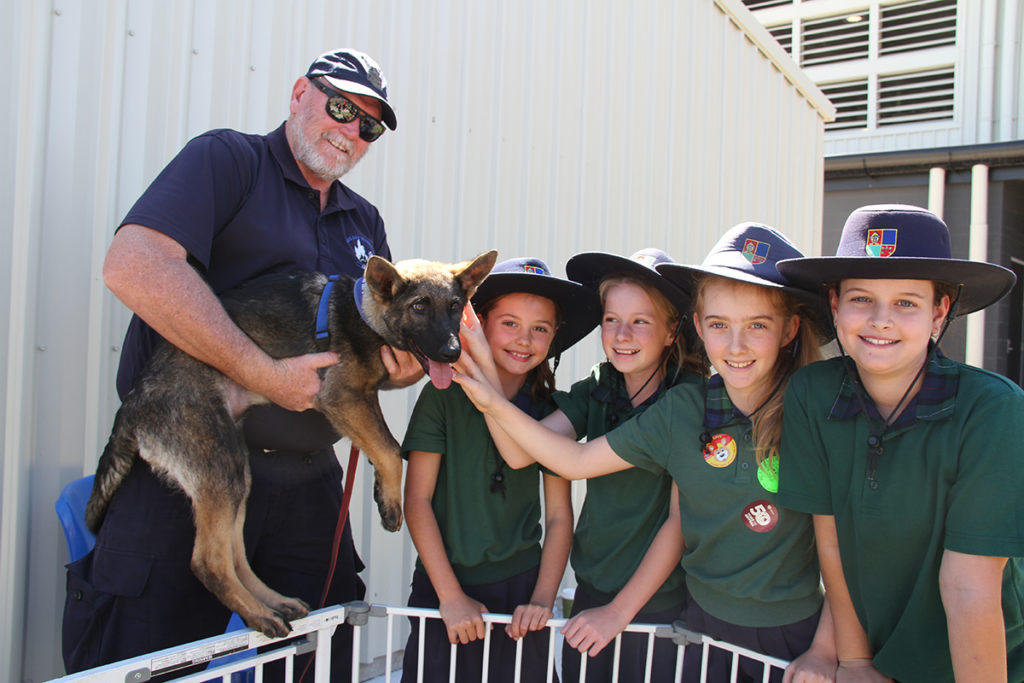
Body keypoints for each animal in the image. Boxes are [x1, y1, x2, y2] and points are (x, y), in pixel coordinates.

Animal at [88, 249, 495, 634]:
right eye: (419, 307)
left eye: (455, 307)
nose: (453, 353)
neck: (363, 313)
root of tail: (135, 402)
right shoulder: (341, 397)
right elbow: (392, 449)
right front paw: (392, 505)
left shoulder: (362, 399)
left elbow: (382, 446)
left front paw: (384, 493)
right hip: (220, 468)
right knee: (209, 563)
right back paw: (258, 614)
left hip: (238, 473)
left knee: (236, 556)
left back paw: (274, 603)